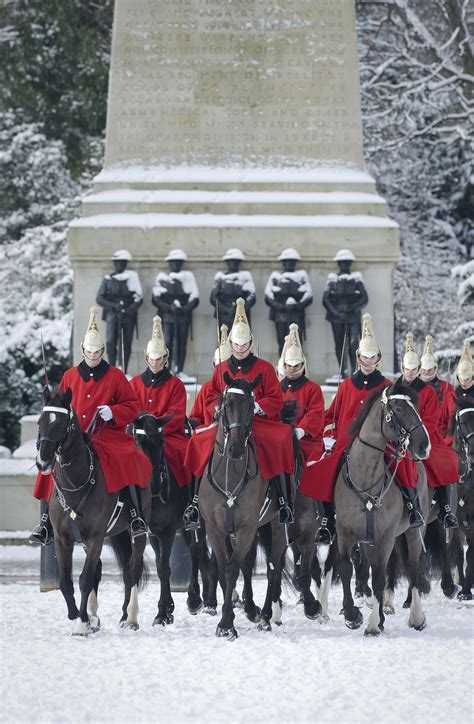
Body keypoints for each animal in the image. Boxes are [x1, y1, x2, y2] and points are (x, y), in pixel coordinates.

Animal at [36, 384, 151, 632]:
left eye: (61, 423)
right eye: (40, 422)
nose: (42, 461)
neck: (76, 483)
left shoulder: (95, 536)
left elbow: (85, 578)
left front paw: (81, 623)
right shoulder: (62, 538)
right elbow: (66, 581)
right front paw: (80, 616)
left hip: (136, 530)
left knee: (133, 567)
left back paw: (131, 616)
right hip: (115, 533)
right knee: (120, 569)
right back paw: (100, 615)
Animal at [129, 416, 212, 624]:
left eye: (162, 442)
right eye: (139, 443)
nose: (154, 484)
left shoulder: (167, 532)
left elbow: (164, 568)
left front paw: (163, 612)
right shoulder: (153, 533)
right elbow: (160, 567)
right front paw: (166, 609)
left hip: (200, 520)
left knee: (195, 551)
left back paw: (195, 598)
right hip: (185, 527)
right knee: (199, 552)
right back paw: (206, 598)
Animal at [197, 374, 286, 640]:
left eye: (250, 406)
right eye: (227, 404)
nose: (235, 448)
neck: (230, 471)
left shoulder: (246, 528)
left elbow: (231, 570)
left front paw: (226, 624)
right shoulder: (215, 529)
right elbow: (225, 568)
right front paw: (234, 615)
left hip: (277, 526)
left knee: (273, 568)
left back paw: (265, 615)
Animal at [332, 376, 432, 636]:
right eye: (399, 408)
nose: (424, 446)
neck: (366, 476)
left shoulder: (385, 537)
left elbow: (378, 576)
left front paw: (373, 624)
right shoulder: (345, 532)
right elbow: (346, 568)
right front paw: (352, 615)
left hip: (414, 531)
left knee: (413, 567)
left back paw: (416, 617)